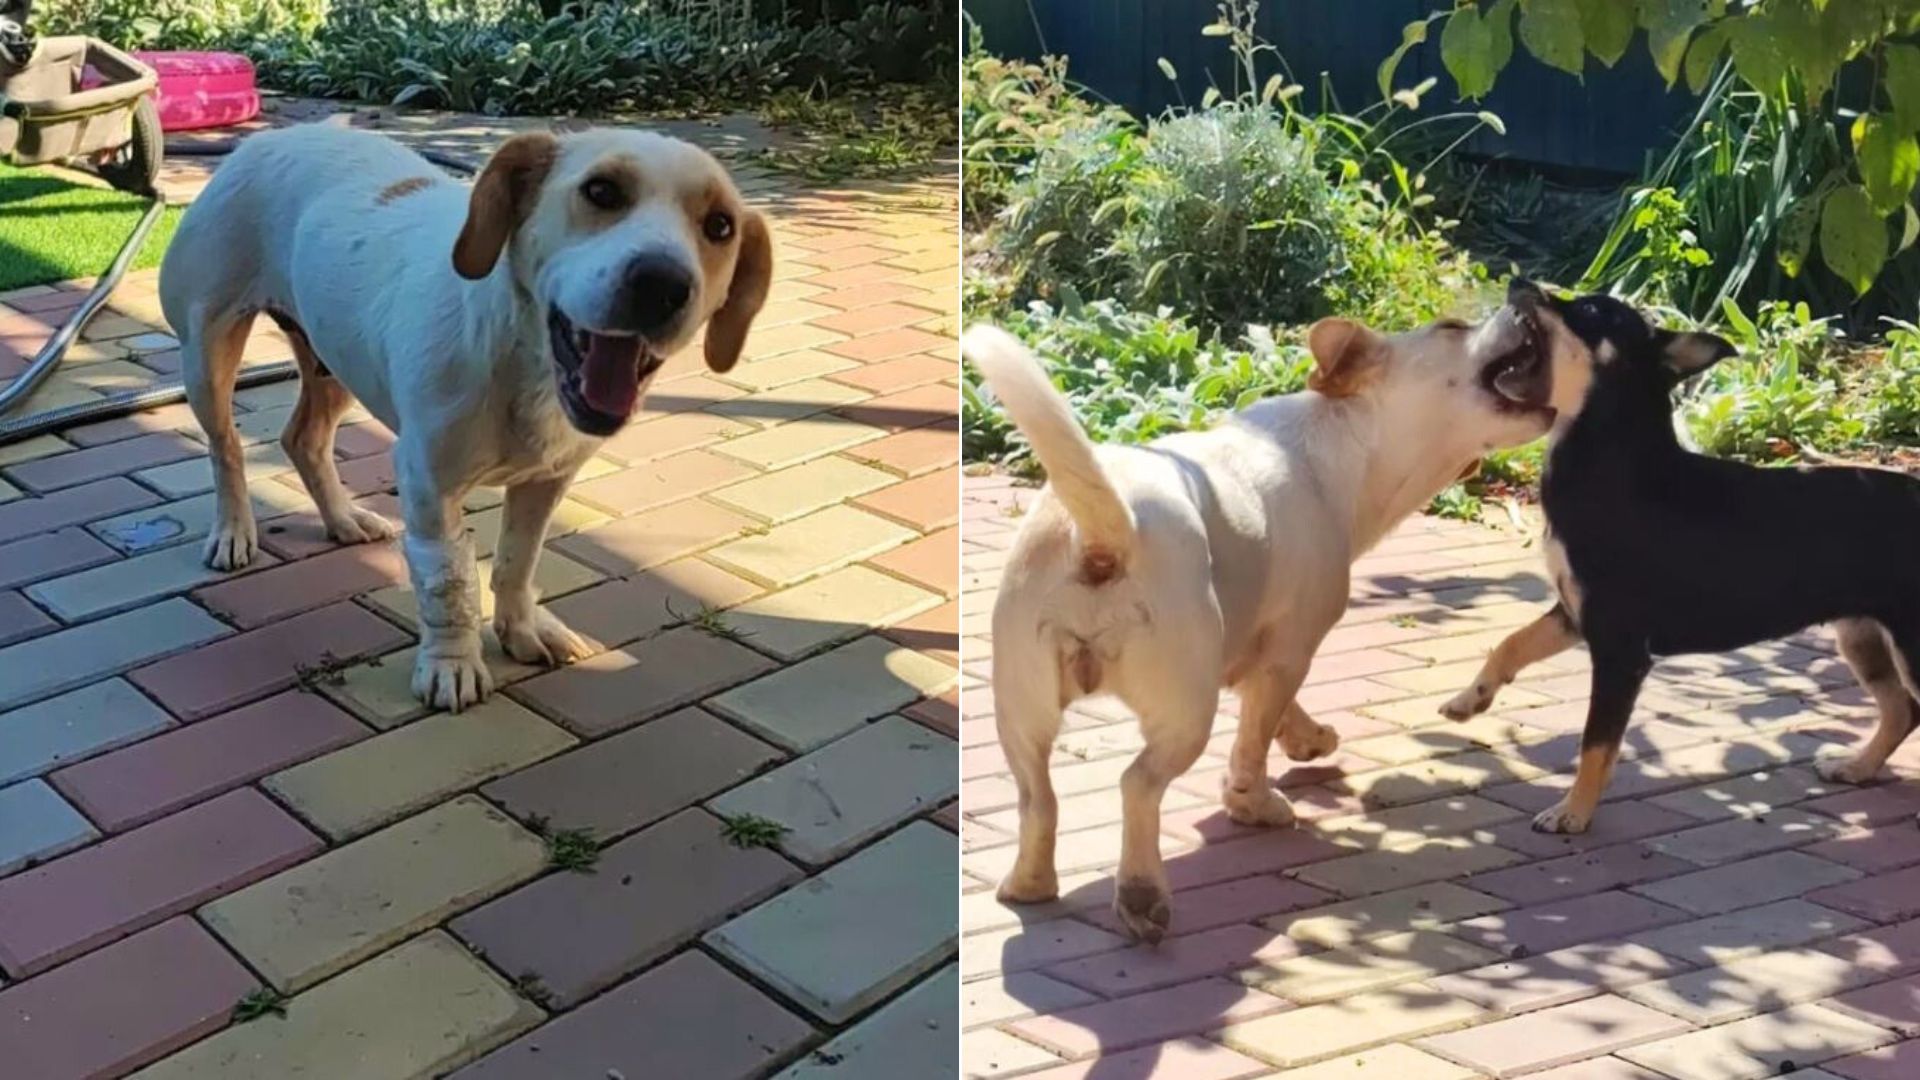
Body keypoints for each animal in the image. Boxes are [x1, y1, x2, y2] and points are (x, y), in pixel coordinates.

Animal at [157, 123, 768, 707]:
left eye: (719, 226)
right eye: (601, 191)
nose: (663, 284)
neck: (524, 362)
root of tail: (266, 139)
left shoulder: (547, 481)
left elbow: (519, 560)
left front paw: (521, 629)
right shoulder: (429, 483)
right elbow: (447, 582)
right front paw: (452, 665)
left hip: (334, 360)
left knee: (302, 438)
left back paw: (344, 518)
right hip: (208, 352)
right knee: (226, 447)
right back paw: (234, 532)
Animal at [967, 297, 1551, 937]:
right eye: (1451, 328)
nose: (1525, 297)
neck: (1346, 437)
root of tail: (1102, 536)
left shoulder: (1258, 651)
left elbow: (1274, 714)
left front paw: (1310, 740)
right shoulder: (1290, 651)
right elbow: (1256, 735)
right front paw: (1254, 802)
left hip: (1020, 710)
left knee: (1038, 798)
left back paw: (1030, 884)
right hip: (1183, 710)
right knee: (1137, 785)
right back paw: (1142, 894)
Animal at [1443, 278, 1920, 834]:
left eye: (1590, 311)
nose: (1519, 282)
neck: (1609, 464)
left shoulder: (1619, 649)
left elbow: (1595, 742)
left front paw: (1573, 812)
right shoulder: (1575, 614)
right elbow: (1510, 645)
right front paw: (1469, 700)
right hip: (1864, 638)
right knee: (1901, 710)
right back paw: (1858, 766)